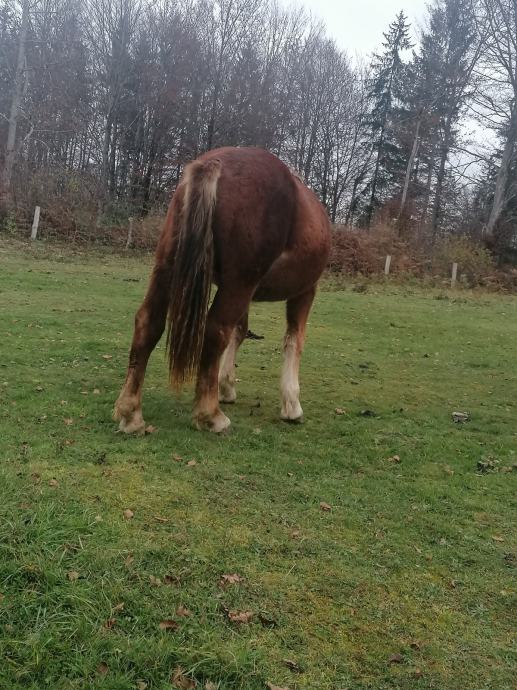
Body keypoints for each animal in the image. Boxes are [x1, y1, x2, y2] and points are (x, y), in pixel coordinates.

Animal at [114, 146, 331, 434]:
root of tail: (213, 164)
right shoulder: (303, 291)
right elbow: (294, 340)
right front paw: (291, 404)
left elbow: (240, 331)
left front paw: (225, 385)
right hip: (240, 283)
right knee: (215, 330)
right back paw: (210, 415)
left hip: (169, 269)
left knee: (148, 323)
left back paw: (131, 413)